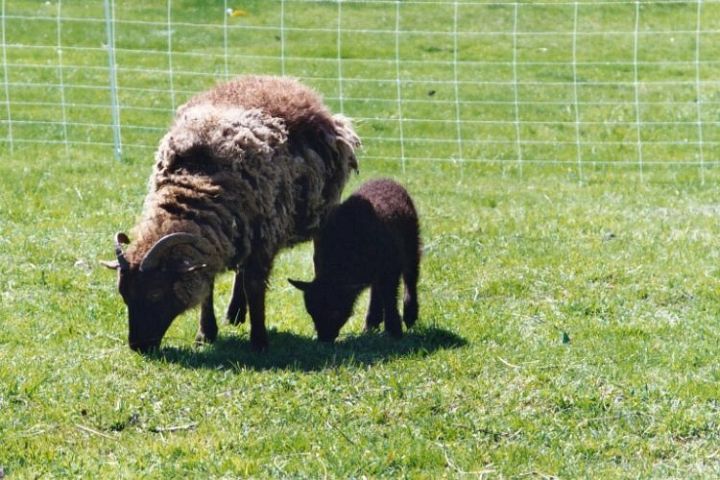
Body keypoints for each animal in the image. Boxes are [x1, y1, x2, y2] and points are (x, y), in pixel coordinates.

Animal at [101, 75, 360, 352]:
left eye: (155, 293)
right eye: (124, 293)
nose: (137, 346)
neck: (198, 179)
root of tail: (286, 82)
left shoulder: (262, 238)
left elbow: (255, 287)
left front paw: (259, 341)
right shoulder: (220, 237)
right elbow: (209, 288)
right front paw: (205, 333)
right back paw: (234, 312)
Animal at [288, 179, 422, 342]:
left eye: (336, 311)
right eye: (311, 313)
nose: (324, 340)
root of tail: (385, 179)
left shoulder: (390, 267)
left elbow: (390, 296)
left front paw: (394, 330)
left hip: (411, 242)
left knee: (411, 276)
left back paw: (409, 315)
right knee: (376, 289)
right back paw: (371, 323)